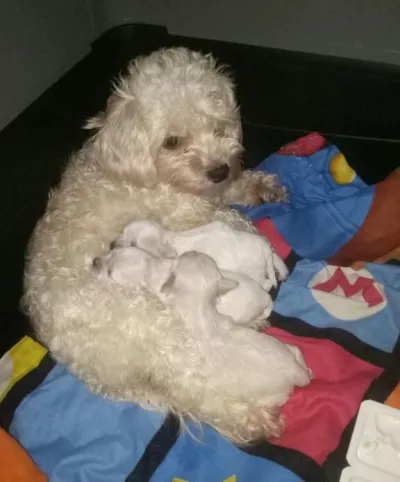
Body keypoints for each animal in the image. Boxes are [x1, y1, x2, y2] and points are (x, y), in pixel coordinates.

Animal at [112, 219, 288, 288]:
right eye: (121, 231)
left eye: (133, 244)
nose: (111, 244)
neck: (167, 238)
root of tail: (262, 246)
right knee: (275, 256)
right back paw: (283, 270)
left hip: (253, 272)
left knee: (266, 281)